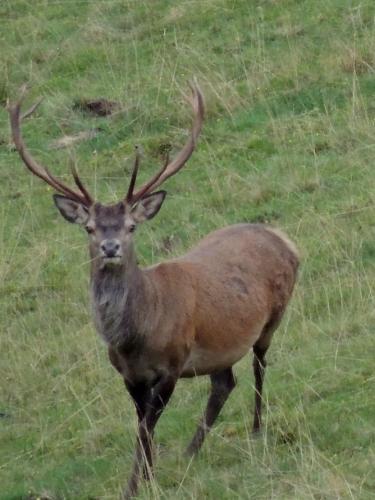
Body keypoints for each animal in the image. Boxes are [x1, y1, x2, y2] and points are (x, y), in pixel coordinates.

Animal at [6, 84, 300, 498]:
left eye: (130, 226)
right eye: (90, 228)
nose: (110, 246)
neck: (136, 337)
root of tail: (283, 239)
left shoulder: (173, 363)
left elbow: (146, 426)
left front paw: (136, 483)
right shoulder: (128, 374)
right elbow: (141, 424)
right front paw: (149, 474)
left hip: (273, 316)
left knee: (259, 365)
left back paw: (257, 428)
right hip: (220, 346)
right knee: (224, 383)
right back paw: (191, 451)